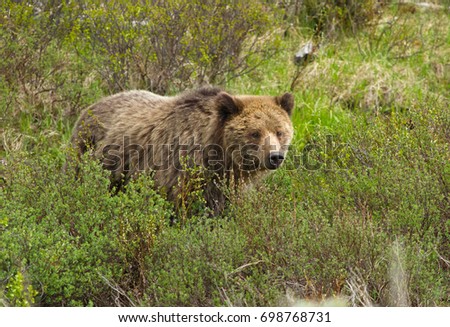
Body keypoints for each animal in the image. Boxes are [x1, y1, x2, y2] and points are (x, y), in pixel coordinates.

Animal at [69, 86, 296, 215]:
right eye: (255, 133)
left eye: (279, 131)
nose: (275, 156)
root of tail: (91, 105)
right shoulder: (182, 170)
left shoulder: (226, 181)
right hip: (92, 153)